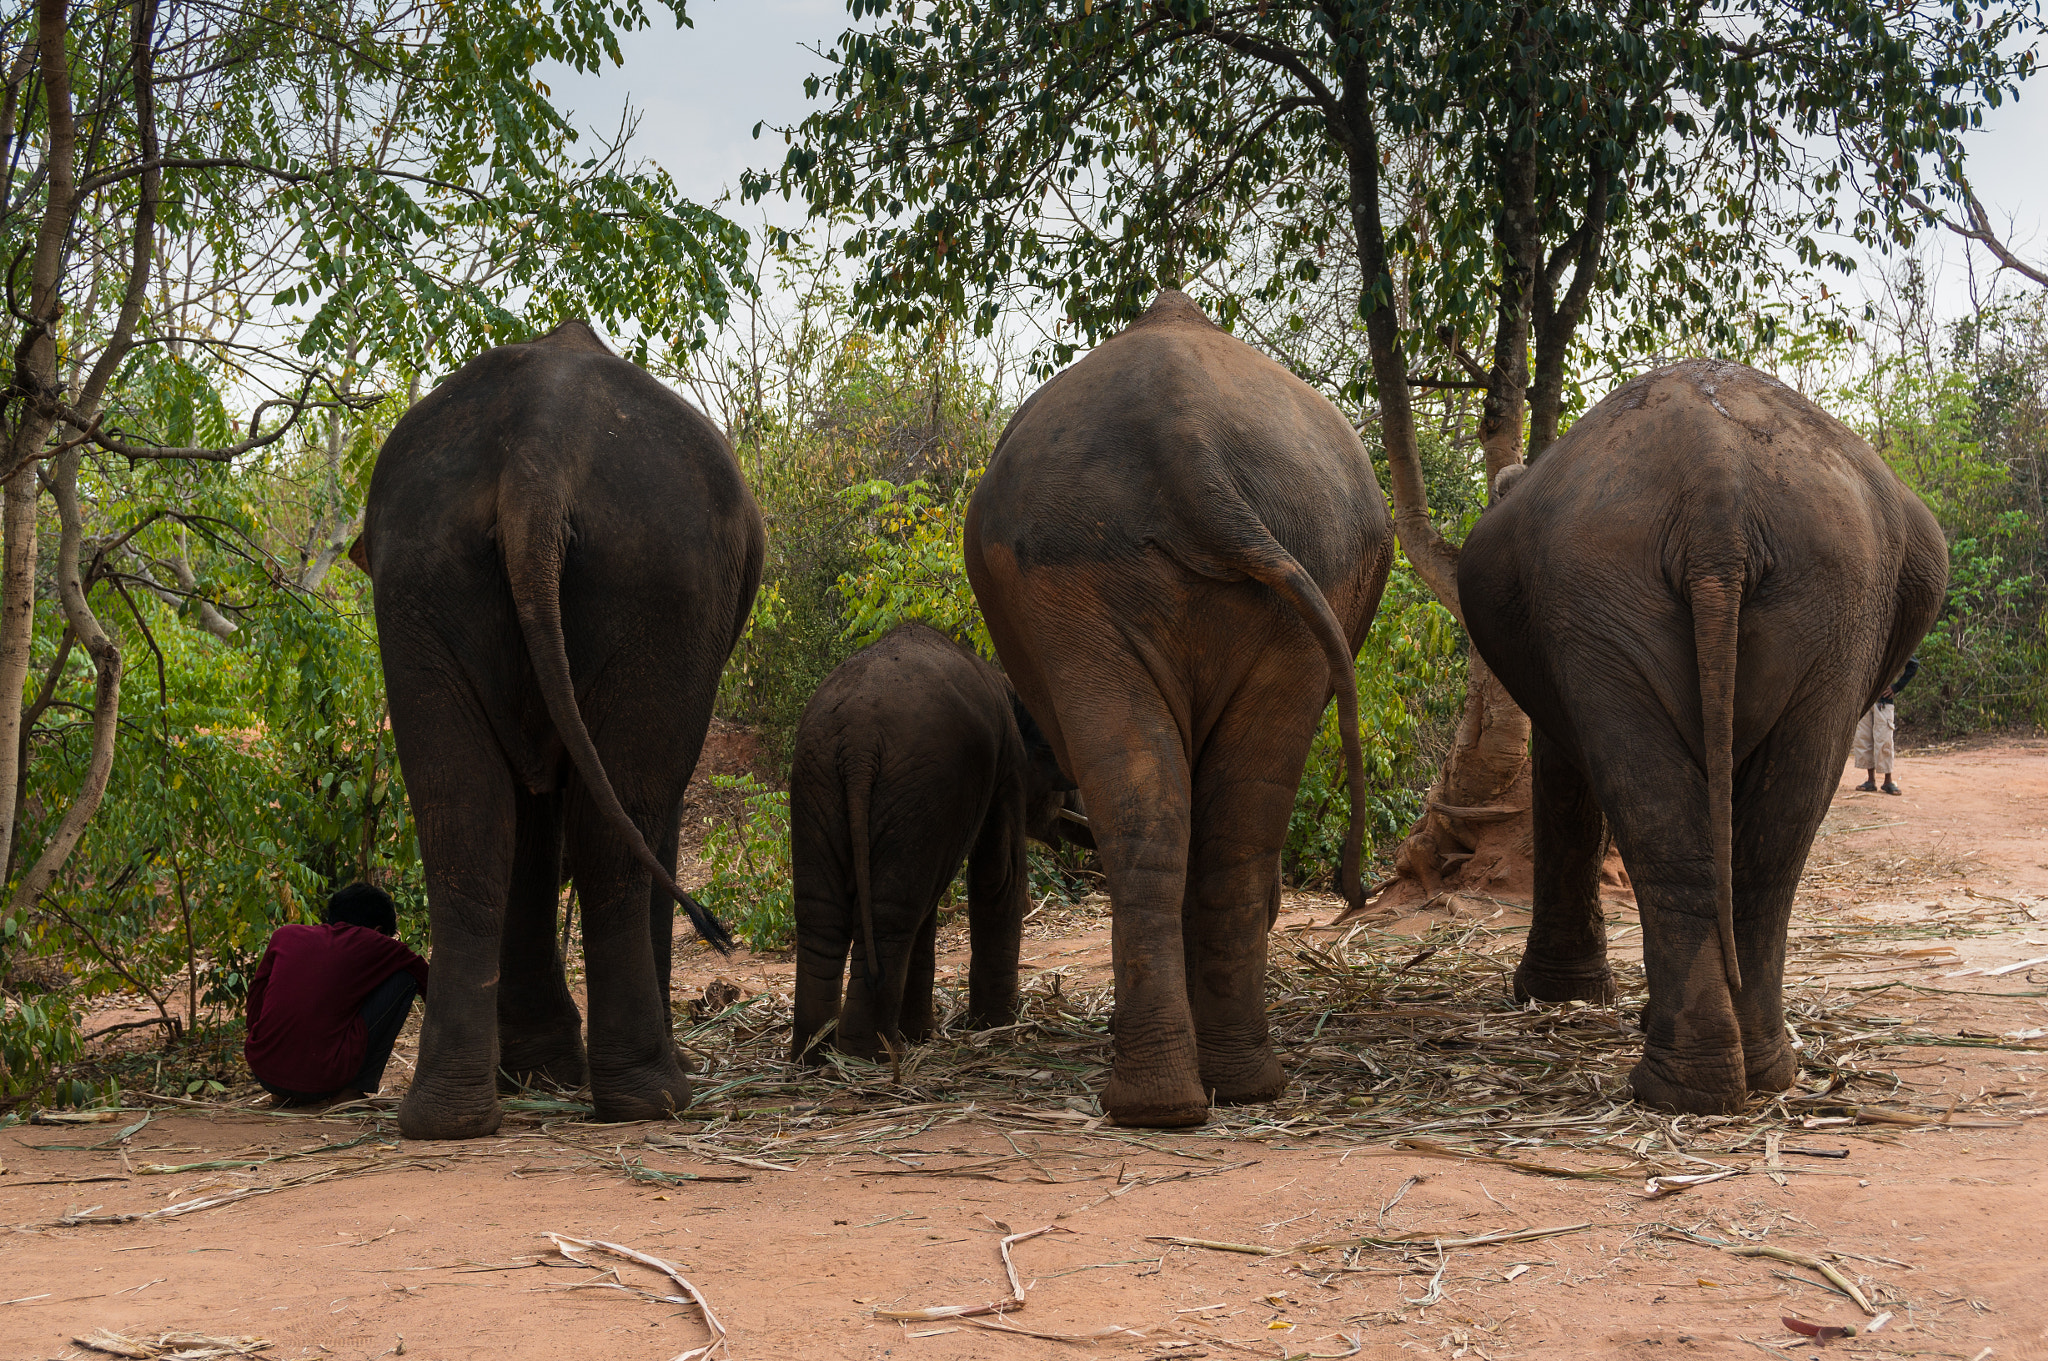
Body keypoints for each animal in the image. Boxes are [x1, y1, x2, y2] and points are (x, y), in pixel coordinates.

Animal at [352, 319, 770, 1137]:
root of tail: (536, 462)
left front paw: (537, 1070)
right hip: (661, 585)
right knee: (621, 822)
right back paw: (656, 1097)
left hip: (419, 581)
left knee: (461, 820)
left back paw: (449, 1116)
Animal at [782, 622, 1073, 1064]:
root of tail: (859, 745)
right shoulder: (1006, 766)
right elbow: (998, 876)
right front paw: (996, 1027)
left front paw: (923, 1035)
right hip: (910, 786)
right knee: (889, 917)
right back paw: (871, 1055)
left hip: (818, 780)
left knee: (825, 914)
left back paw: (816, 1055)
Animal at [966, 286, 1400, 1121]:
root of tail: (1188, 448)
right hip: (1254, 576)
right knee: (1220, 819)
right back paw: (1211, 1093)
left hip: (1103, 581)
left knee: (1164, 810)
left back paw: (1172, 1097)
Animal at [1466, 358, 1941, 1113]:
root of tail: (1715, 487)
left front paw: (1560, 999)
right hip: (1805, 604)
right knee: (1761, 838)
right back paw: (1741, 1078)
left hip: (1727, 597)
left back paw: (1693, 1086)